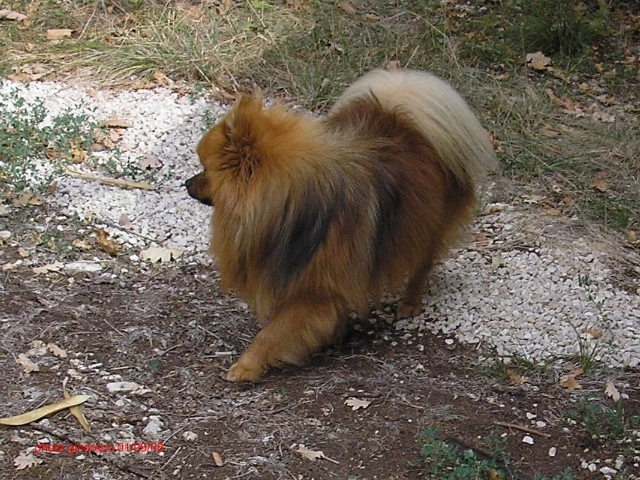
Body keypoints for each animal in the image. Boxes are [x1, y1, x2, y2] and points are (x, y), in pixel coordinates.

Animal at [185, 69, 496, 382]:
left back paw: (410, 302)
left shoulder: (316, 290)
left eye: (205, 170)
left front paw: (247, 365)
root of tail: (409, 119)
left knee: (422, 263)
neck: (290, 205)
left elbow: (273, 332)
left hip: (427, 226)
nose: (186, 183)